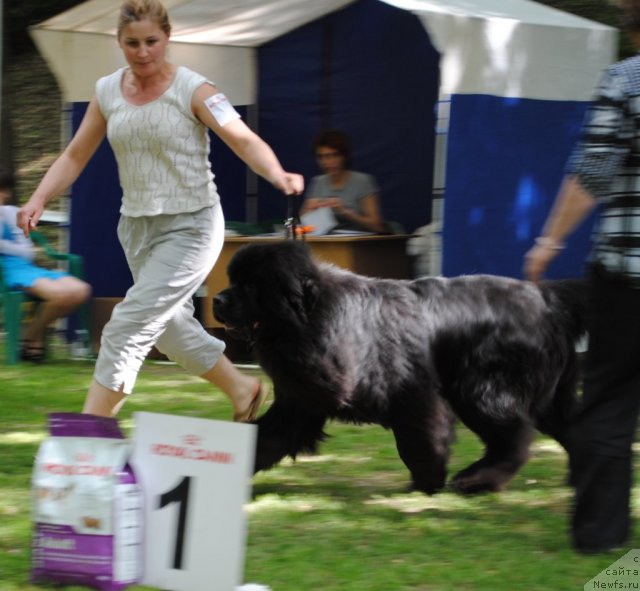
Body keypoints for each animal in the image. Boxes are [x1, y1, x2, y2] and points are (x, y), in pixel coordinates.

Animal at [212, 240, 588, 494]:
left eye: (250, 285)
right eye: (232, 280)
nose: (216, 299)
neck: (310, 319)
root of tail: (546, 300)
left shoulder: (410, 392)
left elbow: (419, 440)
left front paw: (428, 481)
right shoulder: (302, 399)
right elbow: (266, 436)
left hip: (482, 389)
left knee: (513, 436)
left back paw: (476, 480)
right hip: (544, 392)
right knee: (570, 428)